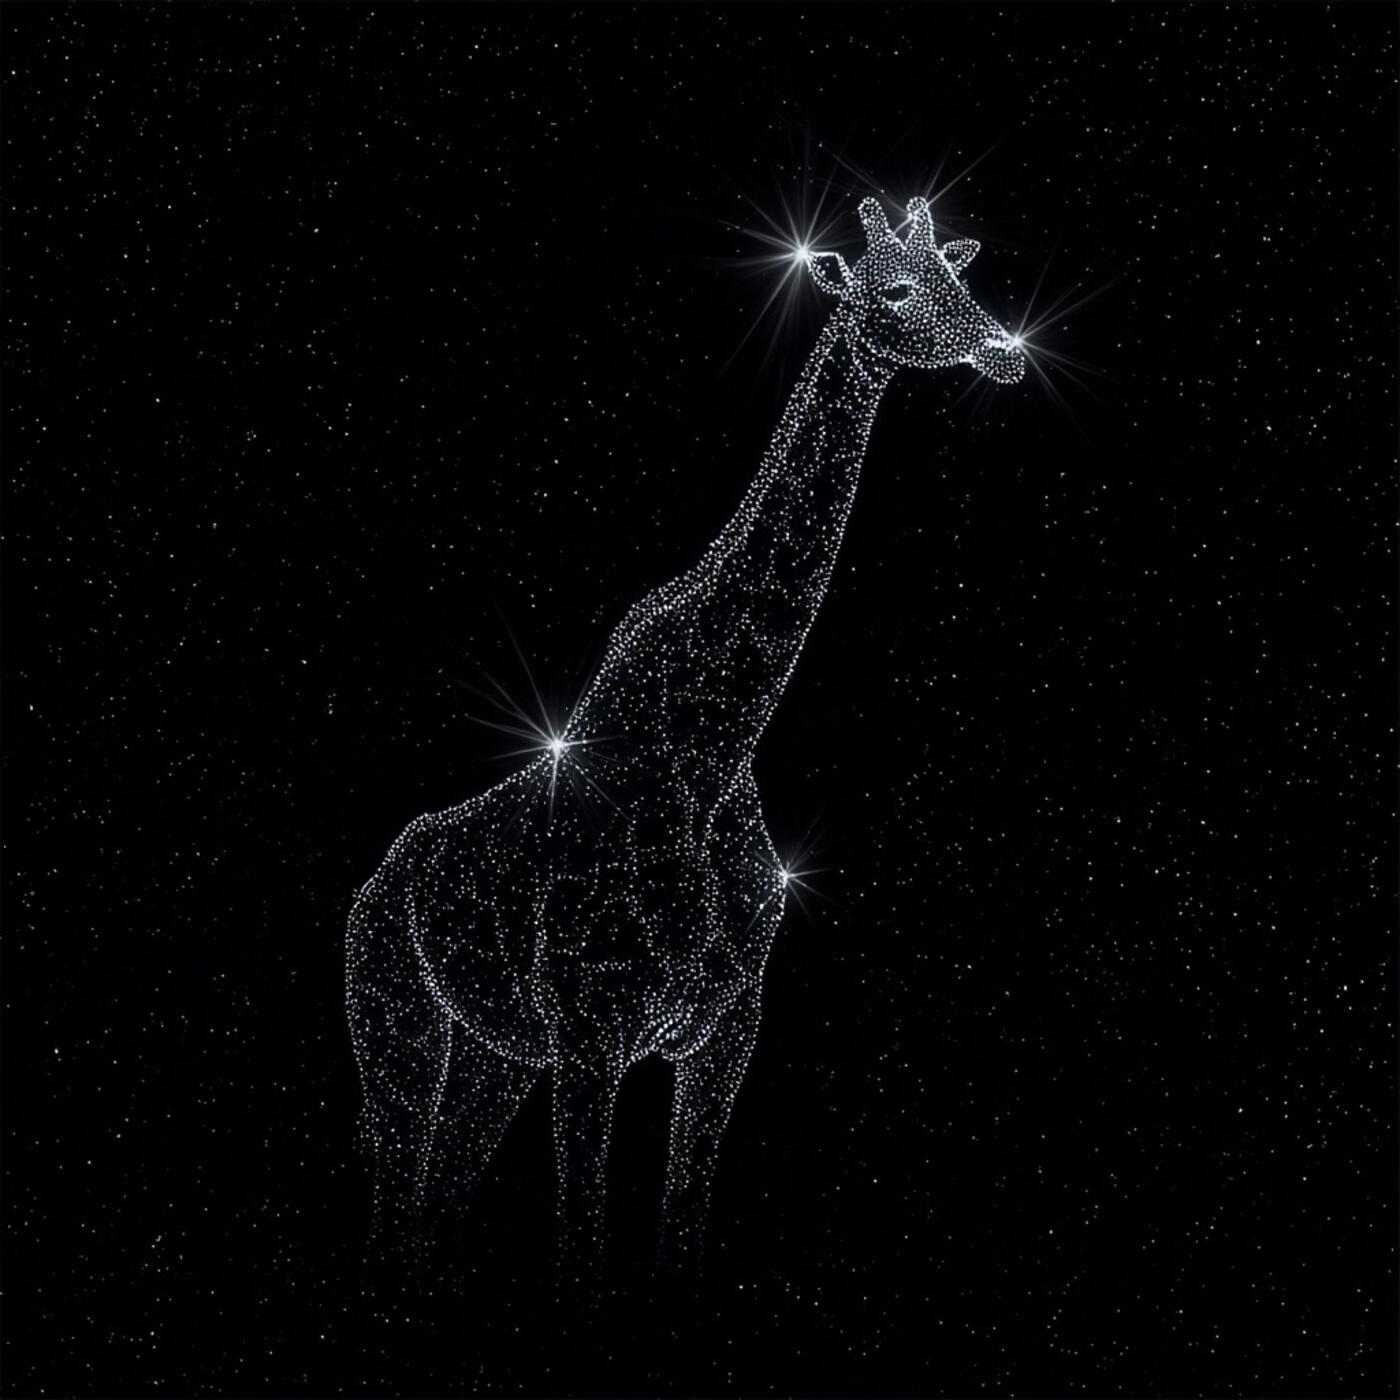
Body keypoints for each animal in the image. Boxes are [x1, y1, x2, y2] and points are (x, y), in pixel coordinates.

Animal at [346, 194, 1025, 1276]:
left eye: (960, 276)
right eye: (894, 290)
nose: (1005, 350)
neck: (711, 752)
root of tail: (376, 881)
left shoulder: (723, 1034)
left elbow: (684, 1221)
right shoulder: (591, 1038)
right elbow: (581, 1230)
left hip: (493, 1057)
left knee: (434, 1201)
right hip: (399, 1028)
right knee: (394, 1192)